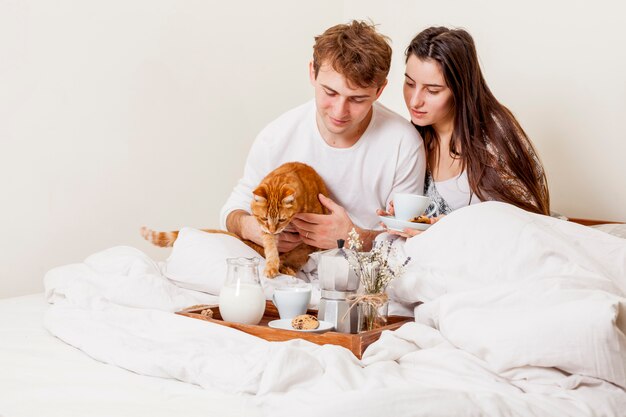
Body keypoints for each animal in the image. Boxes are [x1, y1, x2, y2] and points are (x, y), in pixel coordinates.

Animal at [140, 161, 326, 278]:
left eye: (281, 220)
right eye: (264, 218)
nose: (273, 229)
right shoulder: (264, 231)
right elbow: (271, 250)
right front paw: (272, 266)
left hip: (302, 252)